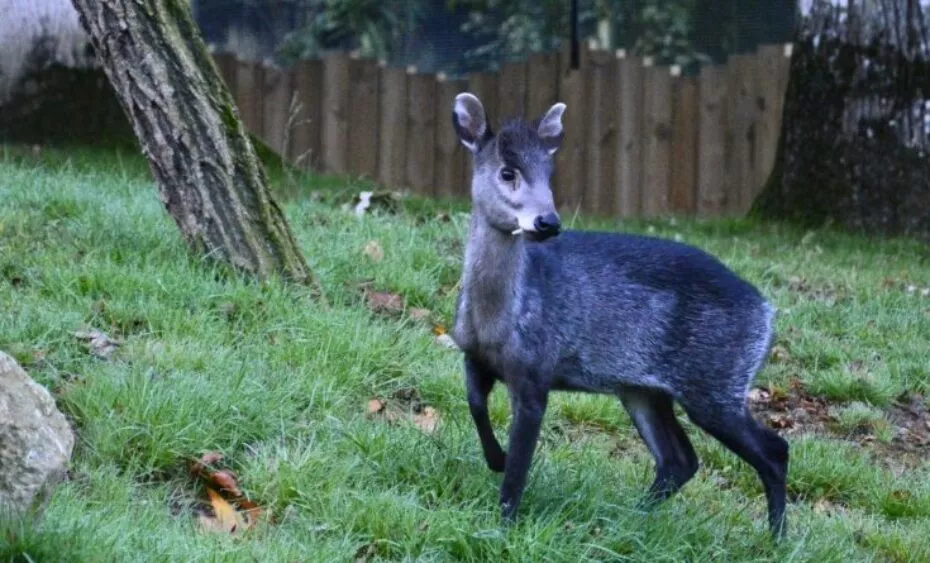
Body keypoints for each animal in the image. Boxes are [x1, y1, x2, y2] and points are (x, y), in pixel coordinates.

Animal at [449, 92, 789, 538]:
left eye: (550, 173)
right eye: (508, 171)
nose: (548, 221)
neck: (496, 323)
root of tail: (767, 312)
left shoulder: (537, 370)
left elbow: (521, 464)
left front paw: (505, 521)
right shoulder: (473, 355)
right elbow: (474, 404)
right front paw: (495, 457)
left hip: (716, 382)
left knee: (774, 450)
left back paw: (776, 539)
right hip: (643, 389)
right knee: (680, 459)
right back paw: (629, 518)